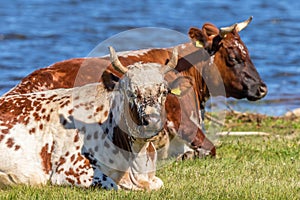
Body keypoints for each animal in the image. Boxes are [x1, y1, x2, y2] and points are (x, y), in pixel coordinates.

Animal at [0, 47, 192, 191]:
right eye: (130, 92)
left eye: (164, 91)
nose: (152, 122)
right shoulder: (70, 170)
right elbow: (115, 185)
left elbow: (157, 184)